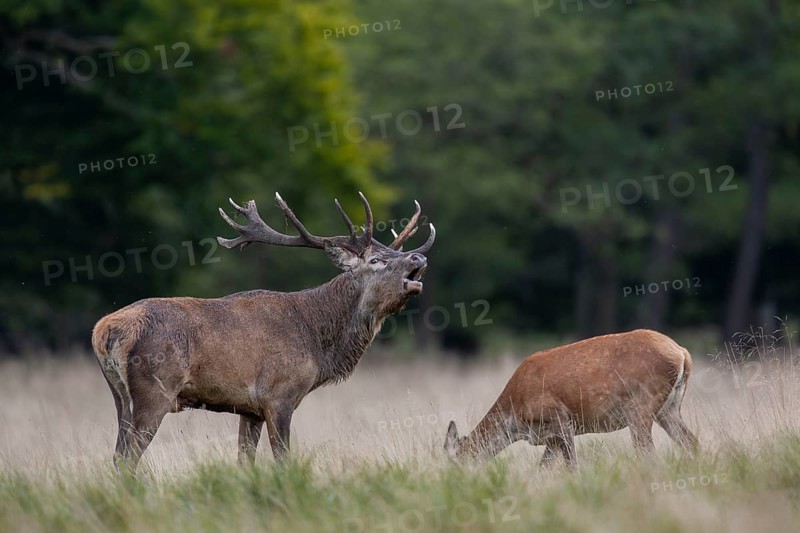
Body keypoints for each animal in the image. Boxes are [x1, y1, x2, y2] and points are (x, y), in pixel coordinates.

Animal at [92, 192, 434, 472]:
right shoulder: (279, 395)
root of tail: (104, 330)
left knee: (117, 455)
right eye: (376, 260)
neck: (317, 342)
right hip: (155, 389)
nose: (418, 257)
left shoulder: (250, 408)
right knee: (128, 458)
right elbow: (283, 460)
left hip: (119, 394)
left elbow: (245, 461)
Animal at [444, 329, 698, 467]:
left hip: (640, 406)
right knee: (691, 442)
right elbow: (542, 470)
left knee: (648, 453)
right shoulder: (550, 438)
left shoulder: (560, 418)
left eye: (455, 464)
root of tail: (682, 353)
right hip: (669, 408)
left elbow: (572, 466)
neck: (515, 413)